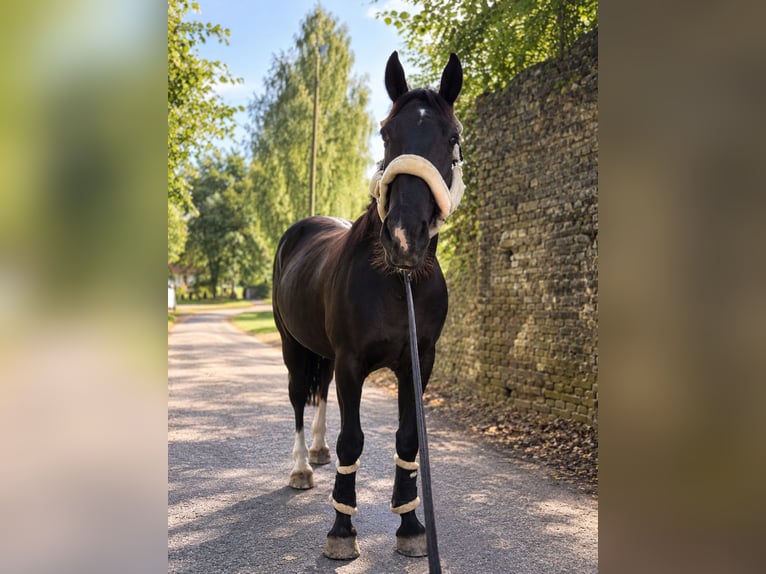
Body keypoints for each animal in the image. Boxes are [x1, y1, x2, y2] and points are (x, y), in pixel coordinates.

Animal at [272, 51, 463, 561]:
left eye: (452, 137)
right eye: (386, 134)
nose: (403, 239)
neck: (398, 284)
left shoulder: (418, 362)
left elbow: (409, 438)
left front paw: (411, 524)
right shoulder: (352, 362)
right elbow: (352, 441)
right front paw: (342, 530)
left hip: (324, 354)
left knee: (319, 395)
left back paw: (315, 452)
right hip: (293, 347)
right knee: (298, 398)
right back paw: (301, 467)